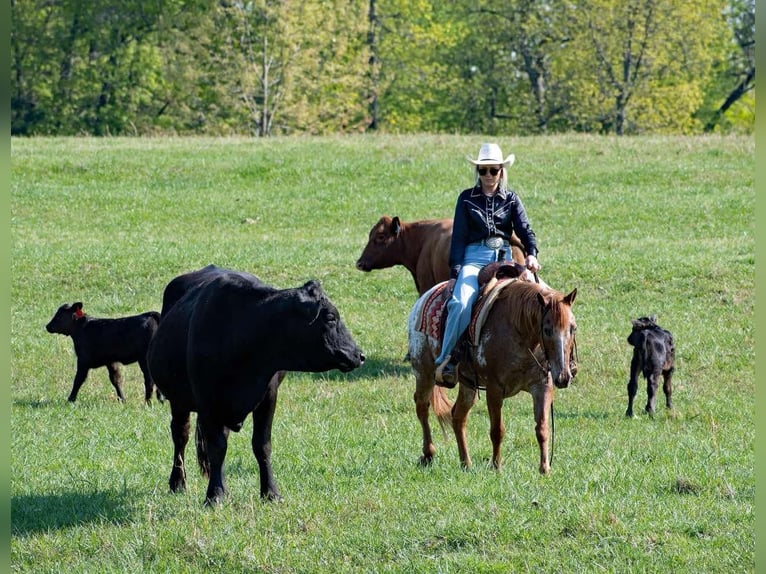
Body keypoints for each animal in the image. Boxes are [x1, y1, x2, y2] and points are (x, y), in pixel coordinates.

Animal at [408, 278, 578, 474]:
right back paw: (428, 454)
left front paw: (544, 469)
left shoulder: (542, 386)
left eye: (573, 328)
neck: (519, 331)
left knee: (458, 416)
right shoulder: (494, 389)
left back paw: (466, 462)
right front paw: (496, 465)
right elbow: (497, 430)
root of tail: (422, 299)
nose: (563, 377)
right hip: (424, 373)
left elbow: (542, 428)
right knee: (422, 407)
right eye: (547, 329)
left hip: (468, 385)